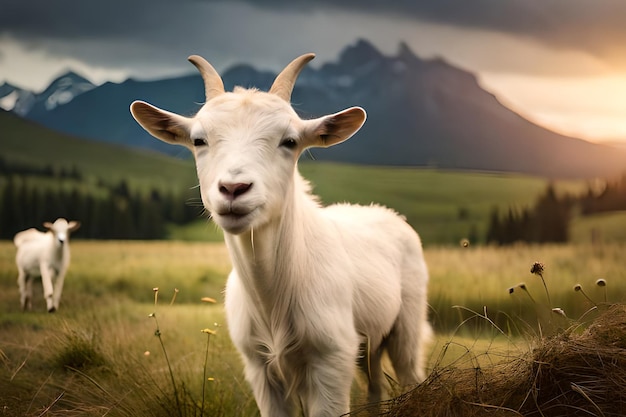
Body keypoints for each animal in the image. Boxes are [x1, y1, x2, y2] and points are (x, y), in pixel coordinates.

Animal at [128, 53, 428, 414]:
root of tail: (387, 213)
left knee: (410, 373)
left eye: (290, 141)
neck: (273, 296)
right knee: (375, 388)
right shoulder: (259, 367)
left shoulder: (331, 360)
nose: (234, 189)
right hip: (368, 344)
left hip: (406, 328)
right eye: (199, 140)